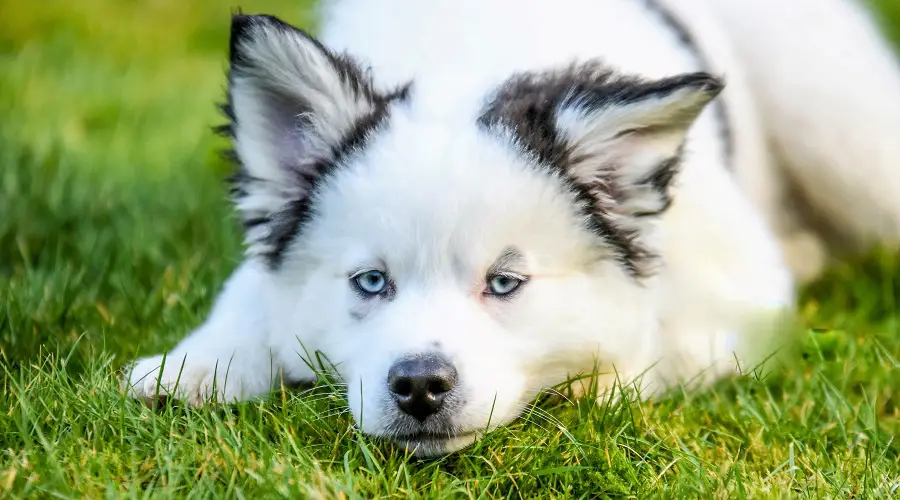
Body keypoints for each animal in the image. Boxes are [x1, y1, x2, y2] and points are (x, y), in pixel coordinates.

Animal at [123, 0, 900, 456]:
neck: (469, 66)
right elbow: (252, 289)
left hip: (841, 130)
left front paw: (598, 379)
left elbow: (656, 330)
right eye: (371, 282)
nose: (420, 386)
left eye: (505, 283)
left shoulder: (740, 284)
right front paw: (194, 367)